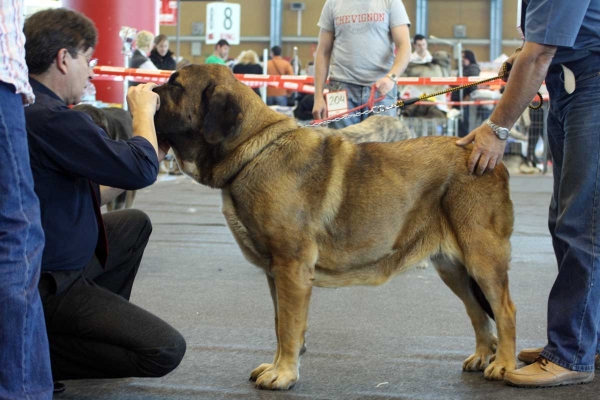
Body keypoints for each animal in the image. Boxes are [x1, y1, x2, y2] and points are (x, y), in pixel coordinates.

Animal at [154, 64, 516, 390]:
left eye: (175, 86)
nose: (147, 92)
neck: (253, 149)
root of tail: (491, 158)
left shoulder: (291, 267)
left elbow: (288, 325)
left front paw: (283, 375)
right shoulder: (275, 272)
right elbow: (279, 323)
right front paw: (277, 366)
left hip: (482, 258)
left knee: (505, 310)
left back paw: (503, 365)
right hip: (452, 267)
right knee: (477, 312)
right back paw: (482, 355)